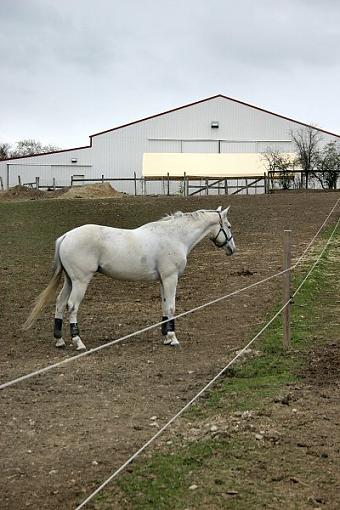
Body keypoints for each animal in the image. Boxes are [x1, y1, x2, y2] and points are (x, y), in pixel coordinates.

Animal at [23, 205, 235, 348]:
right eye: (229, 226)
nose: (232, 249)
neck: (174, 236)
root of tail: (66, 236)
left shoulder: (163, 280)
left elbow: (164, 306)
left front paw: (166, 336)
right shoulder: (170, 278)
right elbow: (171, 307)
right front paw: (173, 339)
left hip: (69, 280)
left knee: (60, 303)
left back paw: (59, 340)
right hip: (80, 281)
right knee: (72, 306)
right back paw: (78, 342)